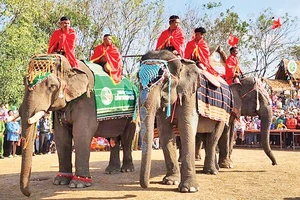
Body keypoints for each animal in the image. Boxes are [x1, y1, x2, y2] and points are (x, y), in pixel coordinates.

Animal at [19, 53, 139, 197]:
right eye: (24, 81)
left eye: (52, 86)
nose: (29, 193)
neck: (71, 66)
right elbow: (61, 137)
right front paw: (60, 181)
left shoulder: (87, 101)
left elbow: (81, 134)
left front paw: (78, 184)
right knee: (113, 139)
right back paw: (111, 171)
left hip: (133, 113)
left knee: (127, 139)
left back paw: (127, 169)